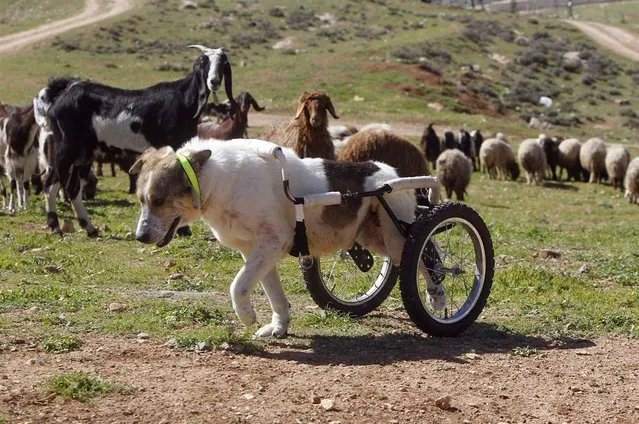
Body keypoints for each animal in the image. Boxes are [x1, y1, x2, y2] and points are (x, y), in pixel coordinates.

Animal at [33, 45, 236, 237]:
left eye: (222, 63)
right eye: (203, 62)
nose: (214, 81)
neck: (183, 101)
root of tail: (60, 96)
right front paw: (182, 230)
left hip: (84, 155)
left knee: (73, 189)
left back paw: (90, 228)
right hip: (65, 148)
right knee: (50, 184)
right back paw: (55, 227)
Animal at [131, 139, 430, 338]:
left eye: (159, 200)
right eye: (141, 200)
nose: (140, 237)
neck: (215, 181)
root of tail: (391, 173)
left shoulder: (274, 242)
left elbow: (237, 286)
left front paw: (246, 315)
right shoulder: (258, 250)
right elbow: (272, 292)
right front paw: (278, 325)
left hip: (397, 237)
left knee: (429, 259)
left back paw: (436, 300)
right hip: (373, 237)